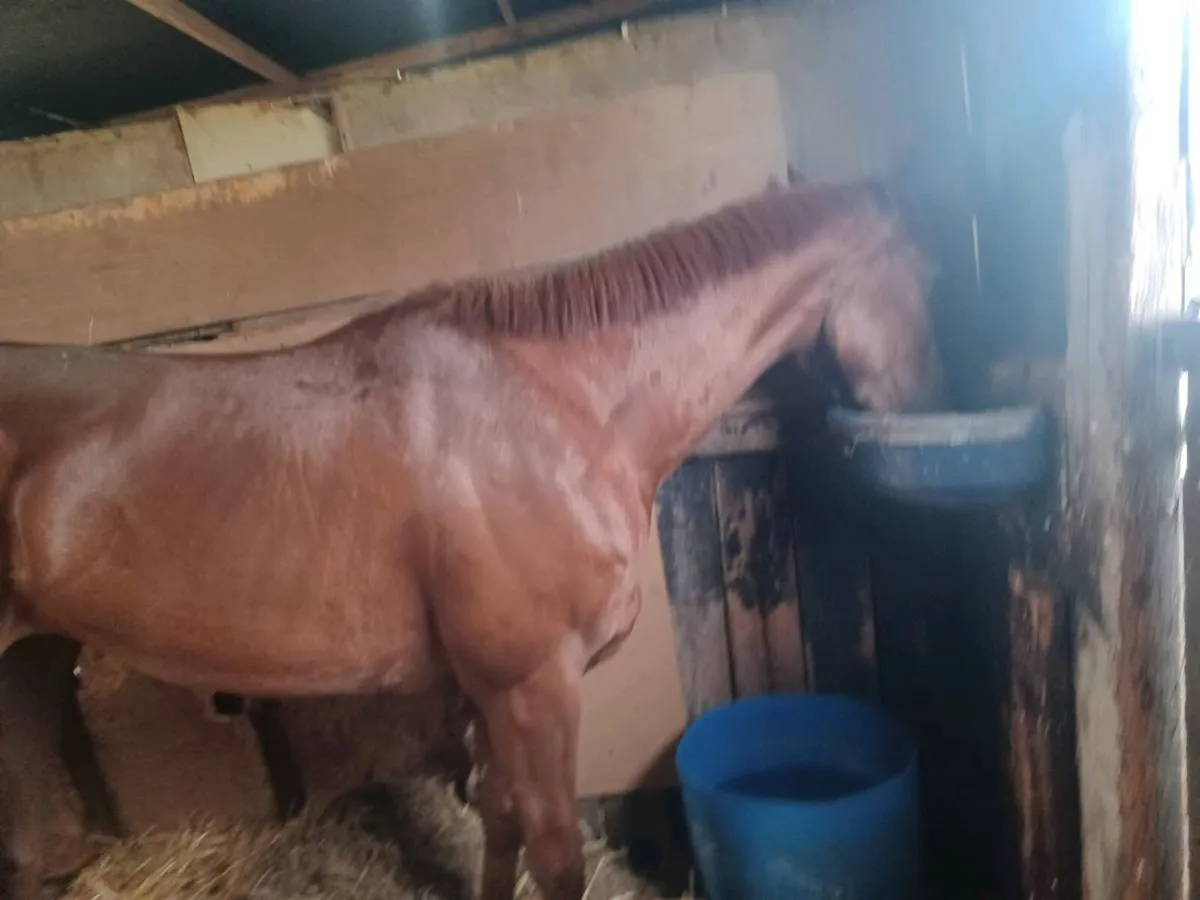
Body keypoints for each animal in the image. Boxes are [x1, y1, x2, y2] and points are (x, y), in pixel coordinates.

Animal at [0, 177, 942, 900]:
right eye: (927, 285)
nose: (922, 408)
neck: (554, 407)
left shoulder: (489, 695)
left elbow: (498, 821)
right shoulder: (536, 688)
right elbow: (555, 857)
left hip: (31, 667)